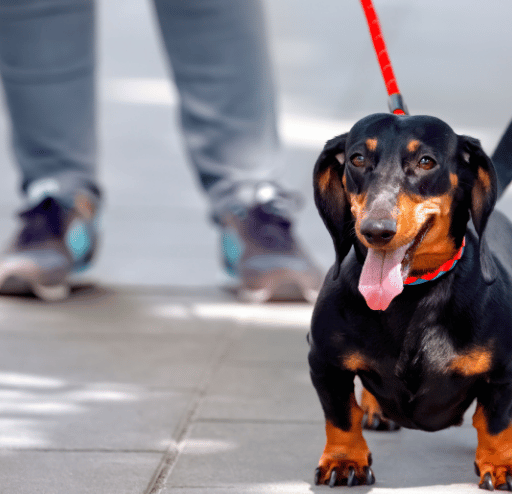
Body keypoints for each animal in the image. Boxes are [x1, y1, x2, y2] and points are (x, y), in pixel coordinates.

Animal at [308, 113, 512, 490]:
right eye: (357, 158)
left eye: (426, 162)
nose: (376, 230)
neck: (412, 293)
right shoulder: (324, 363)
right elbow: (341, 416)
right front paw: (344, 461)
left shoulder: (503, 373)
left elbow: (494, 422)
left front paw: (500, 464)